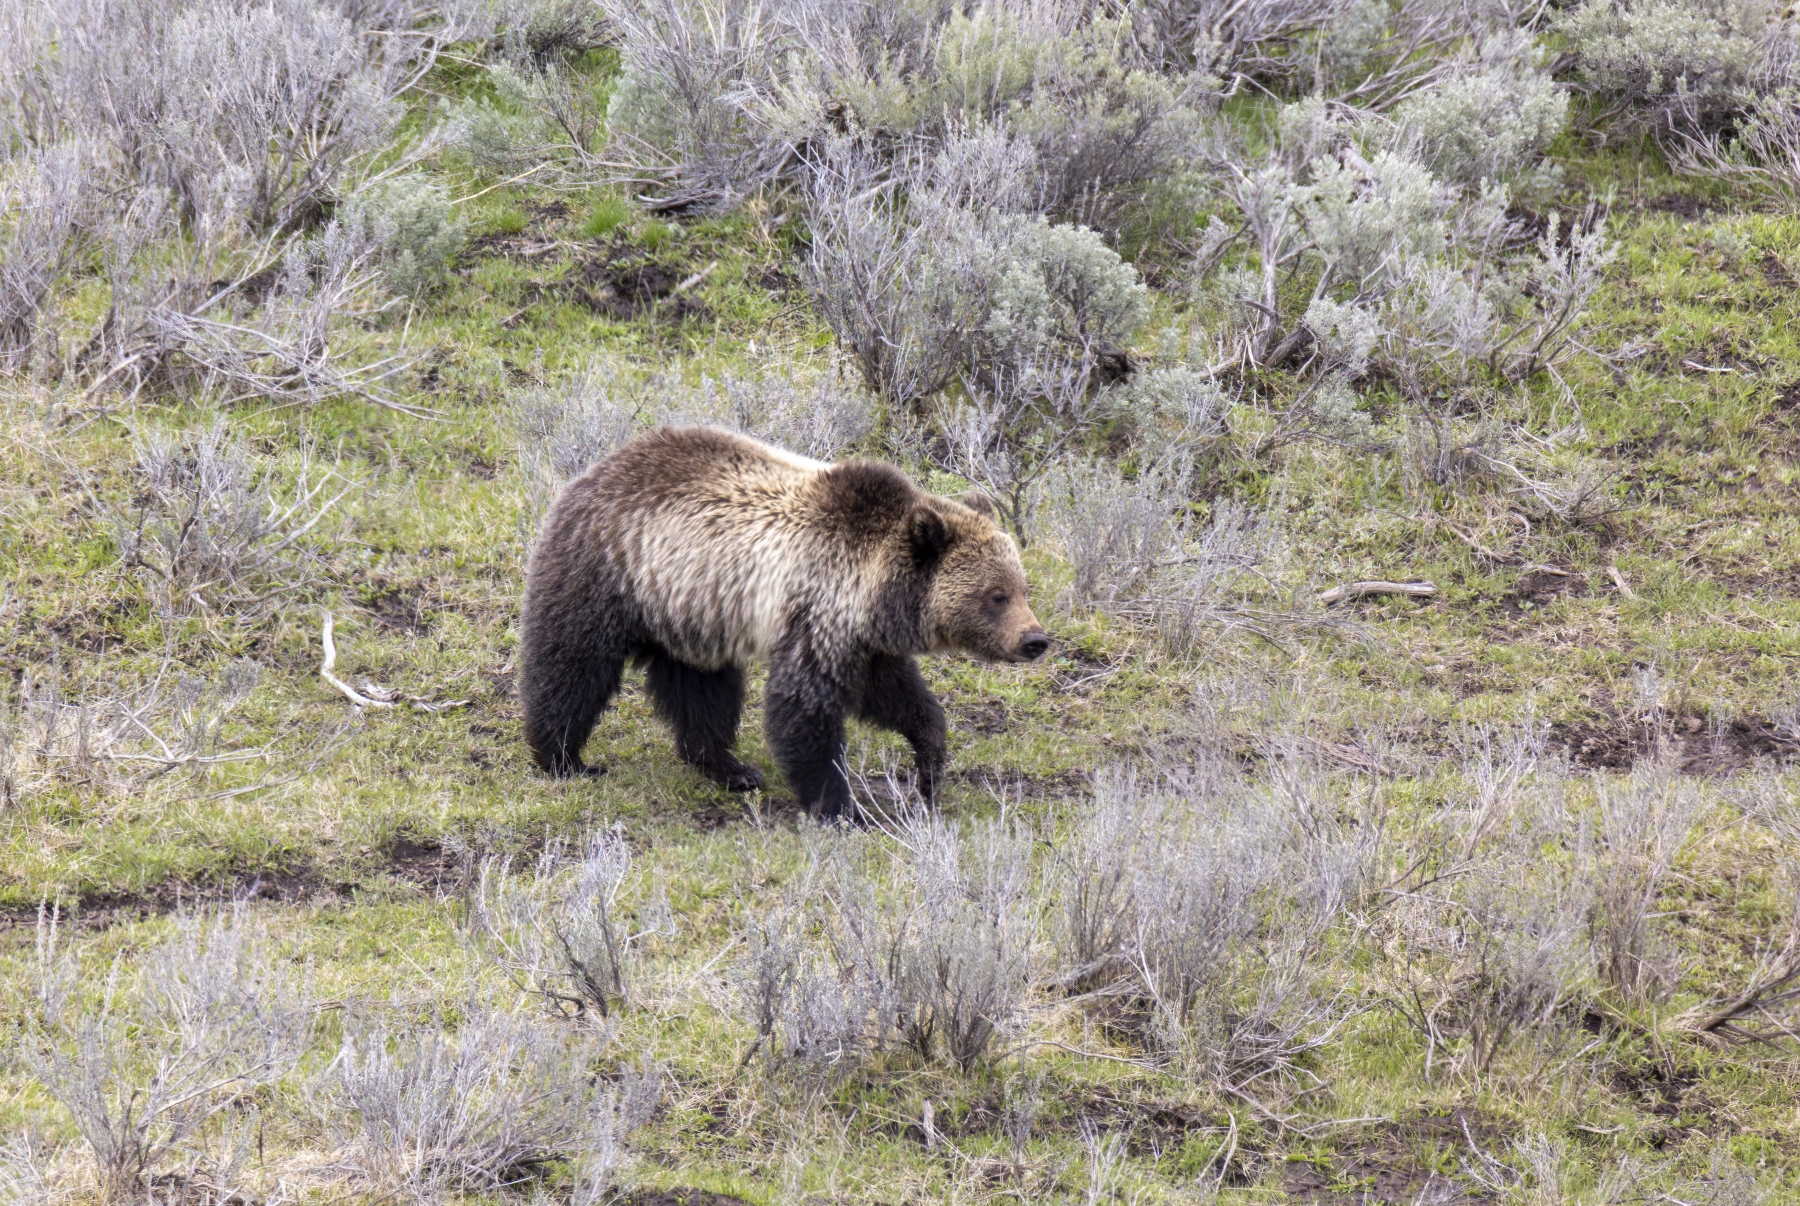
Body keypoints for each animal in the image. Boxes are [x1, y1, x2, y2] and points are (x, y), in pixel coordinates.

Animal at [518, 425, 1050, 818]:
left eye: (1023, 587)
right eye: (996, 596)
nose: (1035, 639)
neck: (874, 591)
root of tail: (595, 468)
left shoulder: (864, 639)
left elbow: (898, 695)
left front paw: (930, 767)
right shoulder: (818, 612)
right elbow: (804, 709)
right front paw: (842, 807)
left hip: (690, 610)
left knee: (703, 691)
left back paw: (730, 767)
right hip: (606, 572)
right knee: (572, 663)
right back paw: (563, 758)